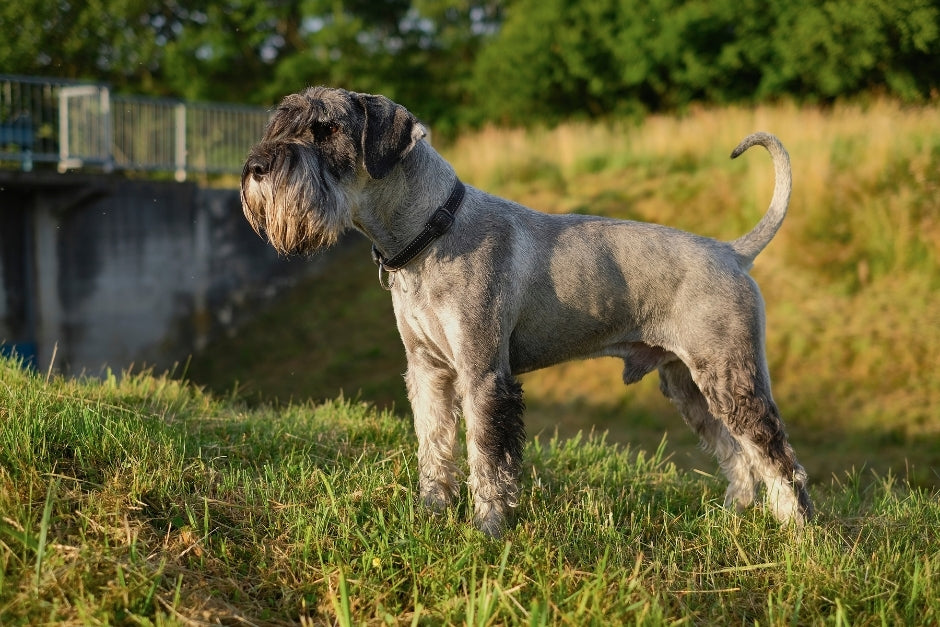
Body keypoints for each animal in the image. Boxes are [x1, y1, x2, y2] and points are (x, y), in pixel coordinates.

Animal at [242, 86, 816, 536]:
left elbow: (488, 458)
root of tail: (732, 252)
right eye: (281, 123)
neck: (433, 230)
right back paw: (733, 518)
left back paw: (797, 533)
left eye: (325, 128)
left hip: (730, 377)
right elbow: (434, 446)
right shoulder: (427, 372)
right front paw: (431, 514)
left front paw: (488, 530)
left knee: (776, 455)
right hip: (688, 385)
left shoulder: (484, 376)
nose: (254, 168)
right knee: (738, 454)